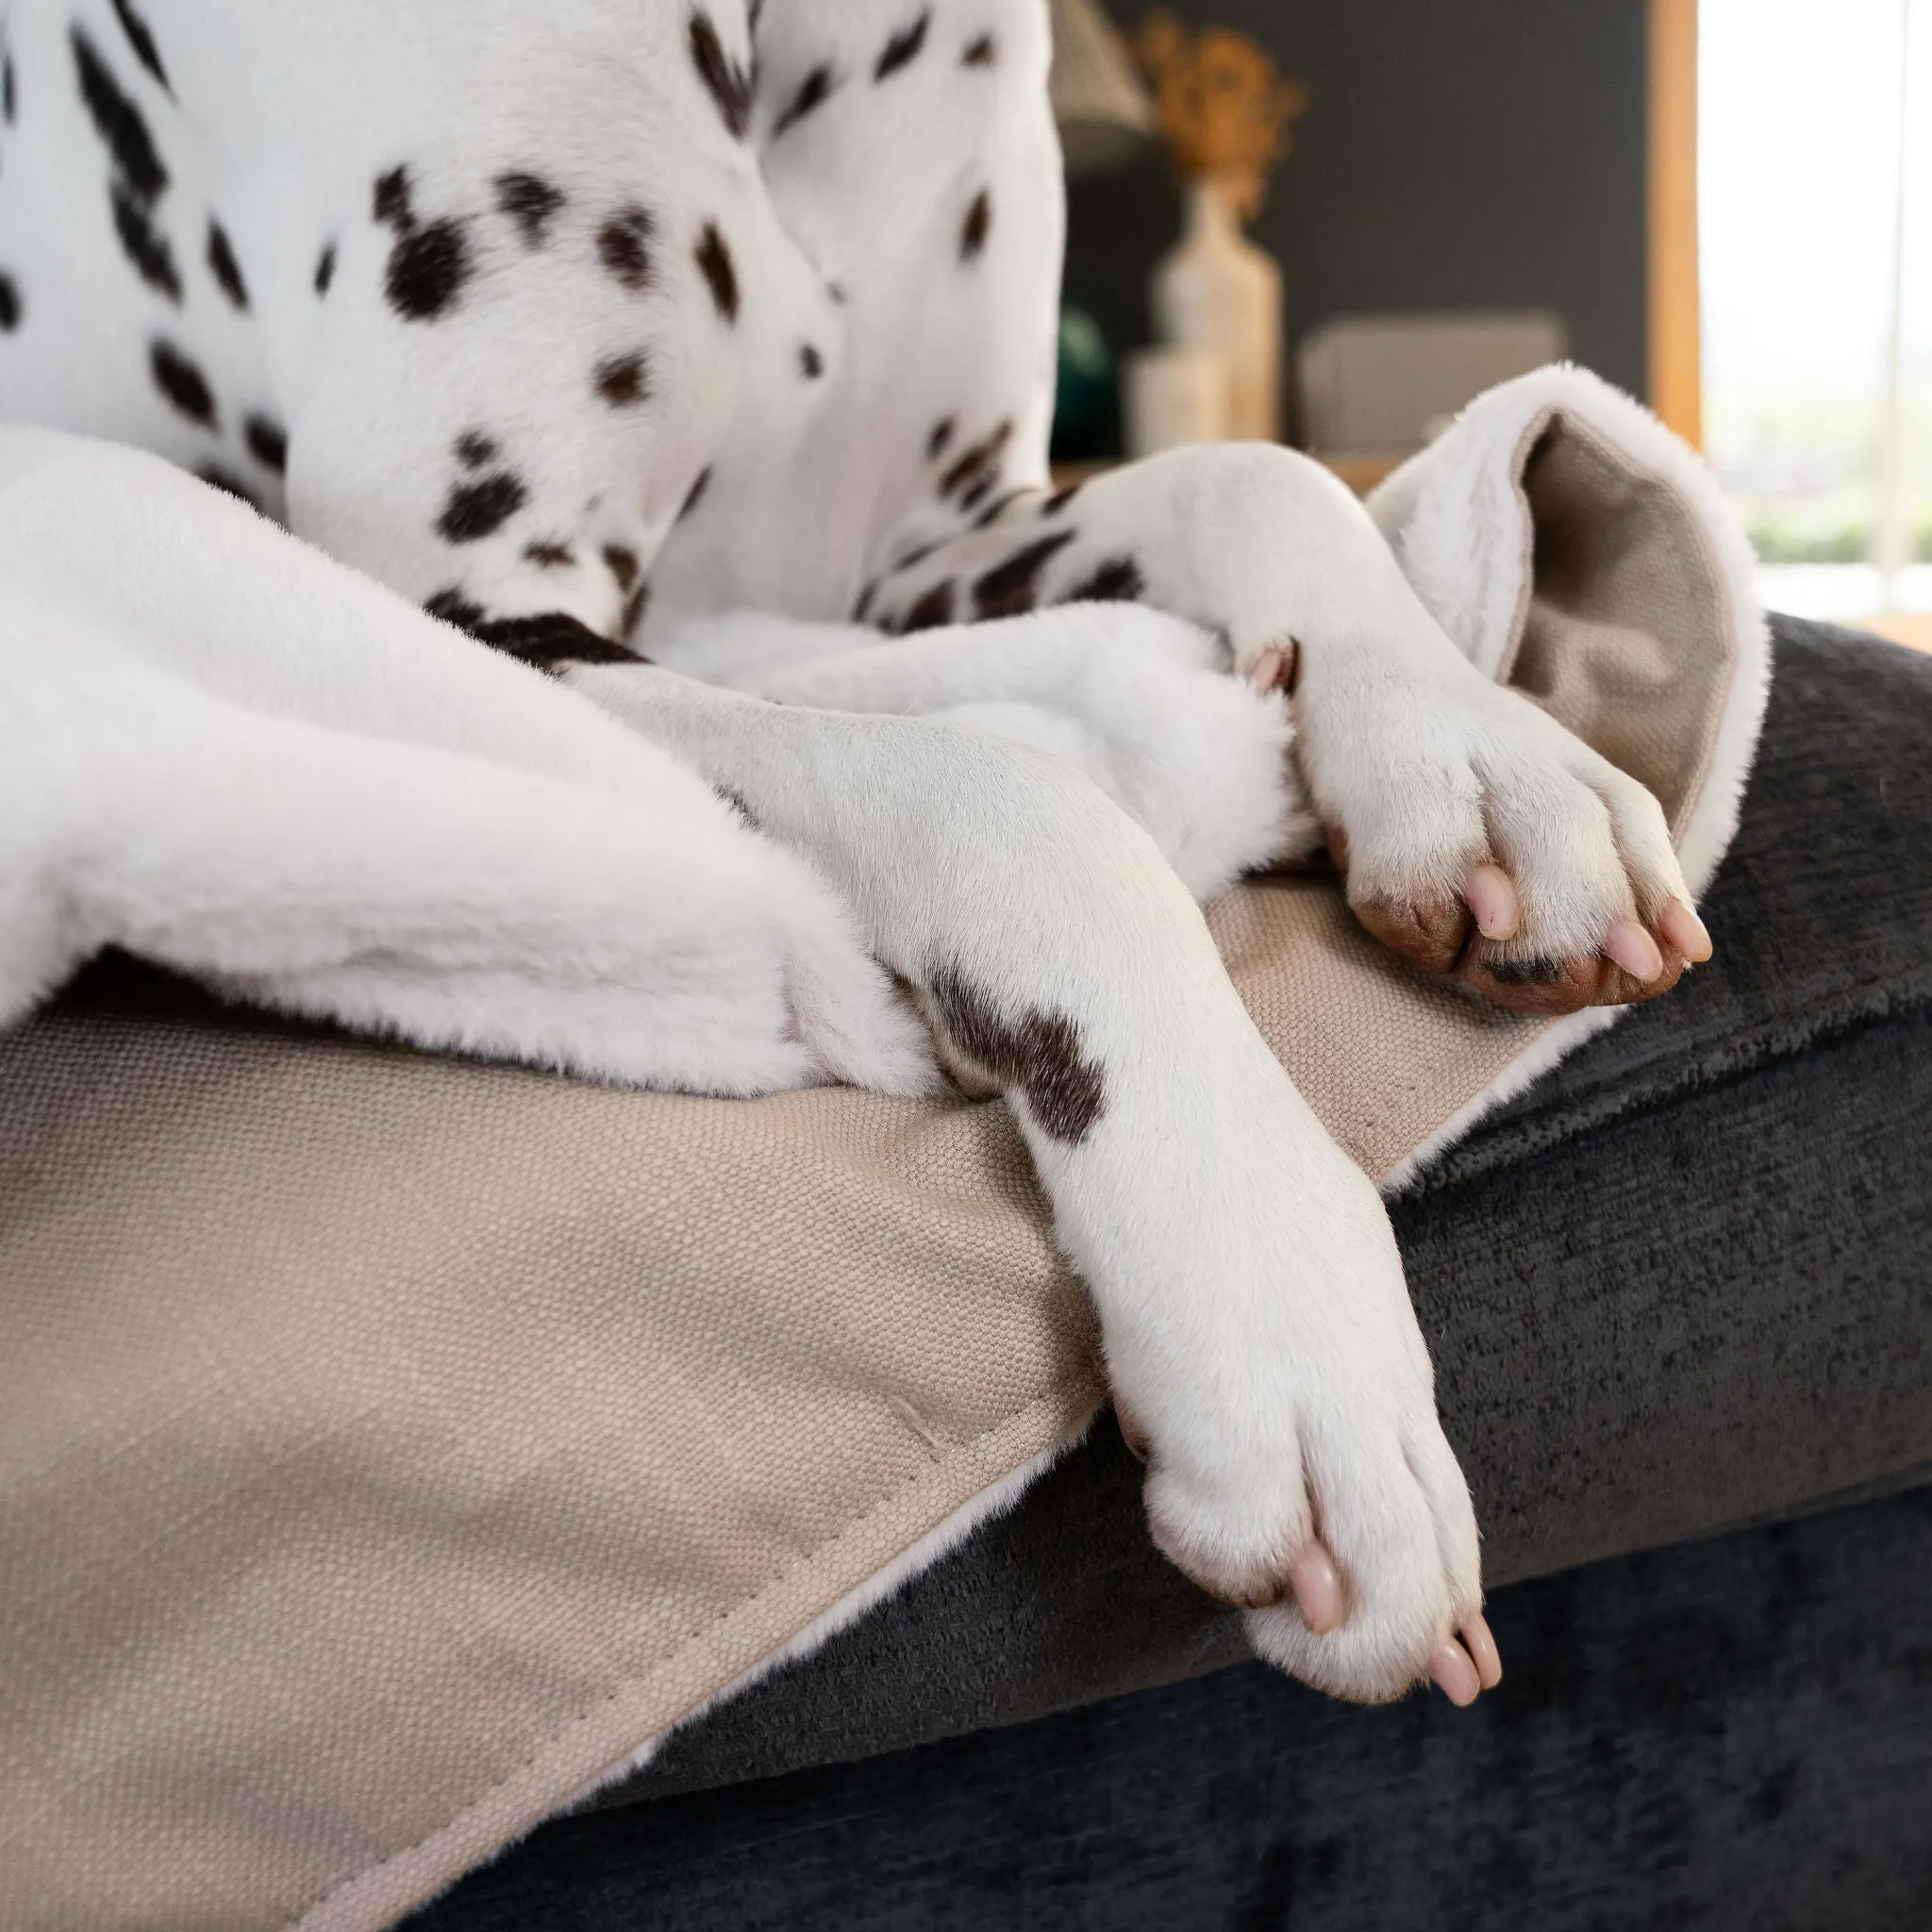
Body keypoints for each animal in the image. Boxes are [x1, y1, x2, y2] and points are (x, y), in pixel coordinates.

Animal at [0, 0, 1715, 1707]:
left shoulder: (922, 544)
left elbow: (1257, 469)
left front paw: (1475, 746)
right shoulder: (463, 611)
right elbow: (1029, 799)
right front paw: (1280, 1315)